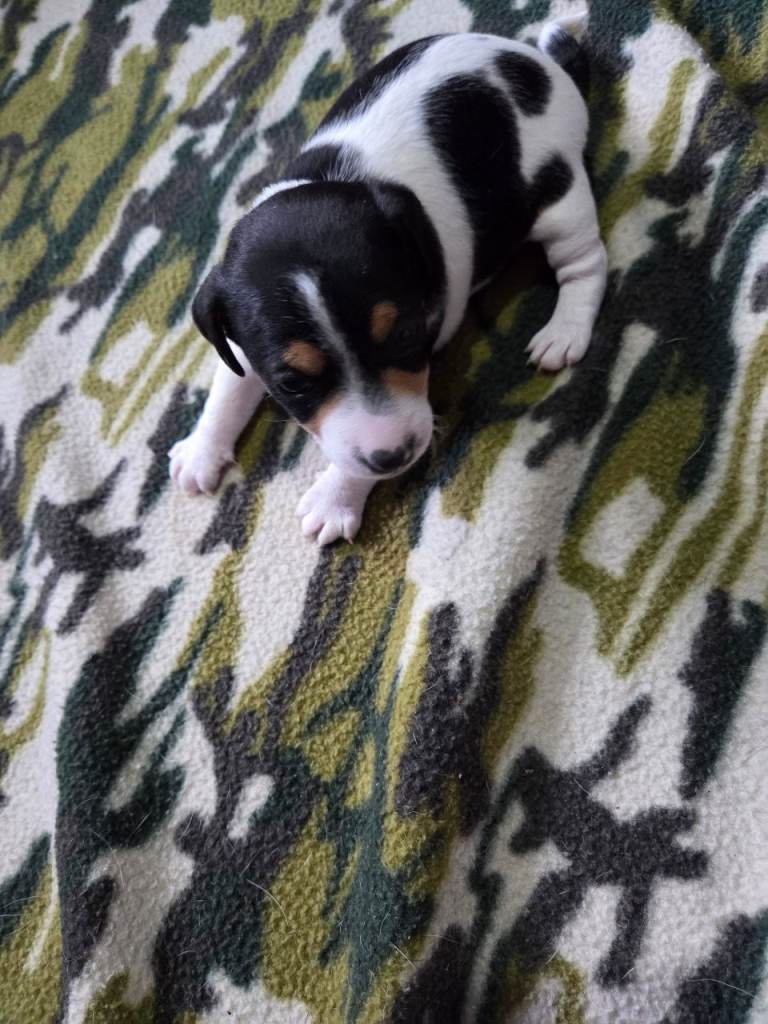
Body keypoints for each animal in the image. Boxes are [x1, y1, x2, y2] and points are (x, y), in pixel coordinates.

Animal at [169, 16, 606, 545]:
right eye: (291, 383)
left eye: (406, 335)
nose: (395, 455)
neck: (337, 180)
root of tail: (544, 66)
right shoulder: (240, 339)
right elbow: (229, 388)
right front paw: (201, 449)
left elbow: (355, 456)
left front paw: (336, 498)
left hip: (556, 197)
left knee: (587, 261)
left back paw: (565, 331)